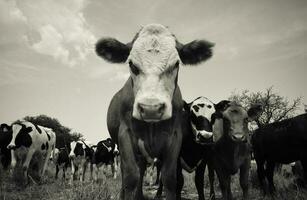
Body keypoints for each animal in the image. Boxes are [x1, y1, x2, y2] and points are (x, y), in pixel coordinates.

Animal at [96, 22, 214, 199]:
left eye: (176, 64)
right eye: (131, 64)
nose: (150, 108)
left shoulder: (175, 137)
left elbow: (170, 179)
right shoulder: (125, 134)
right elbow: (130, 177)